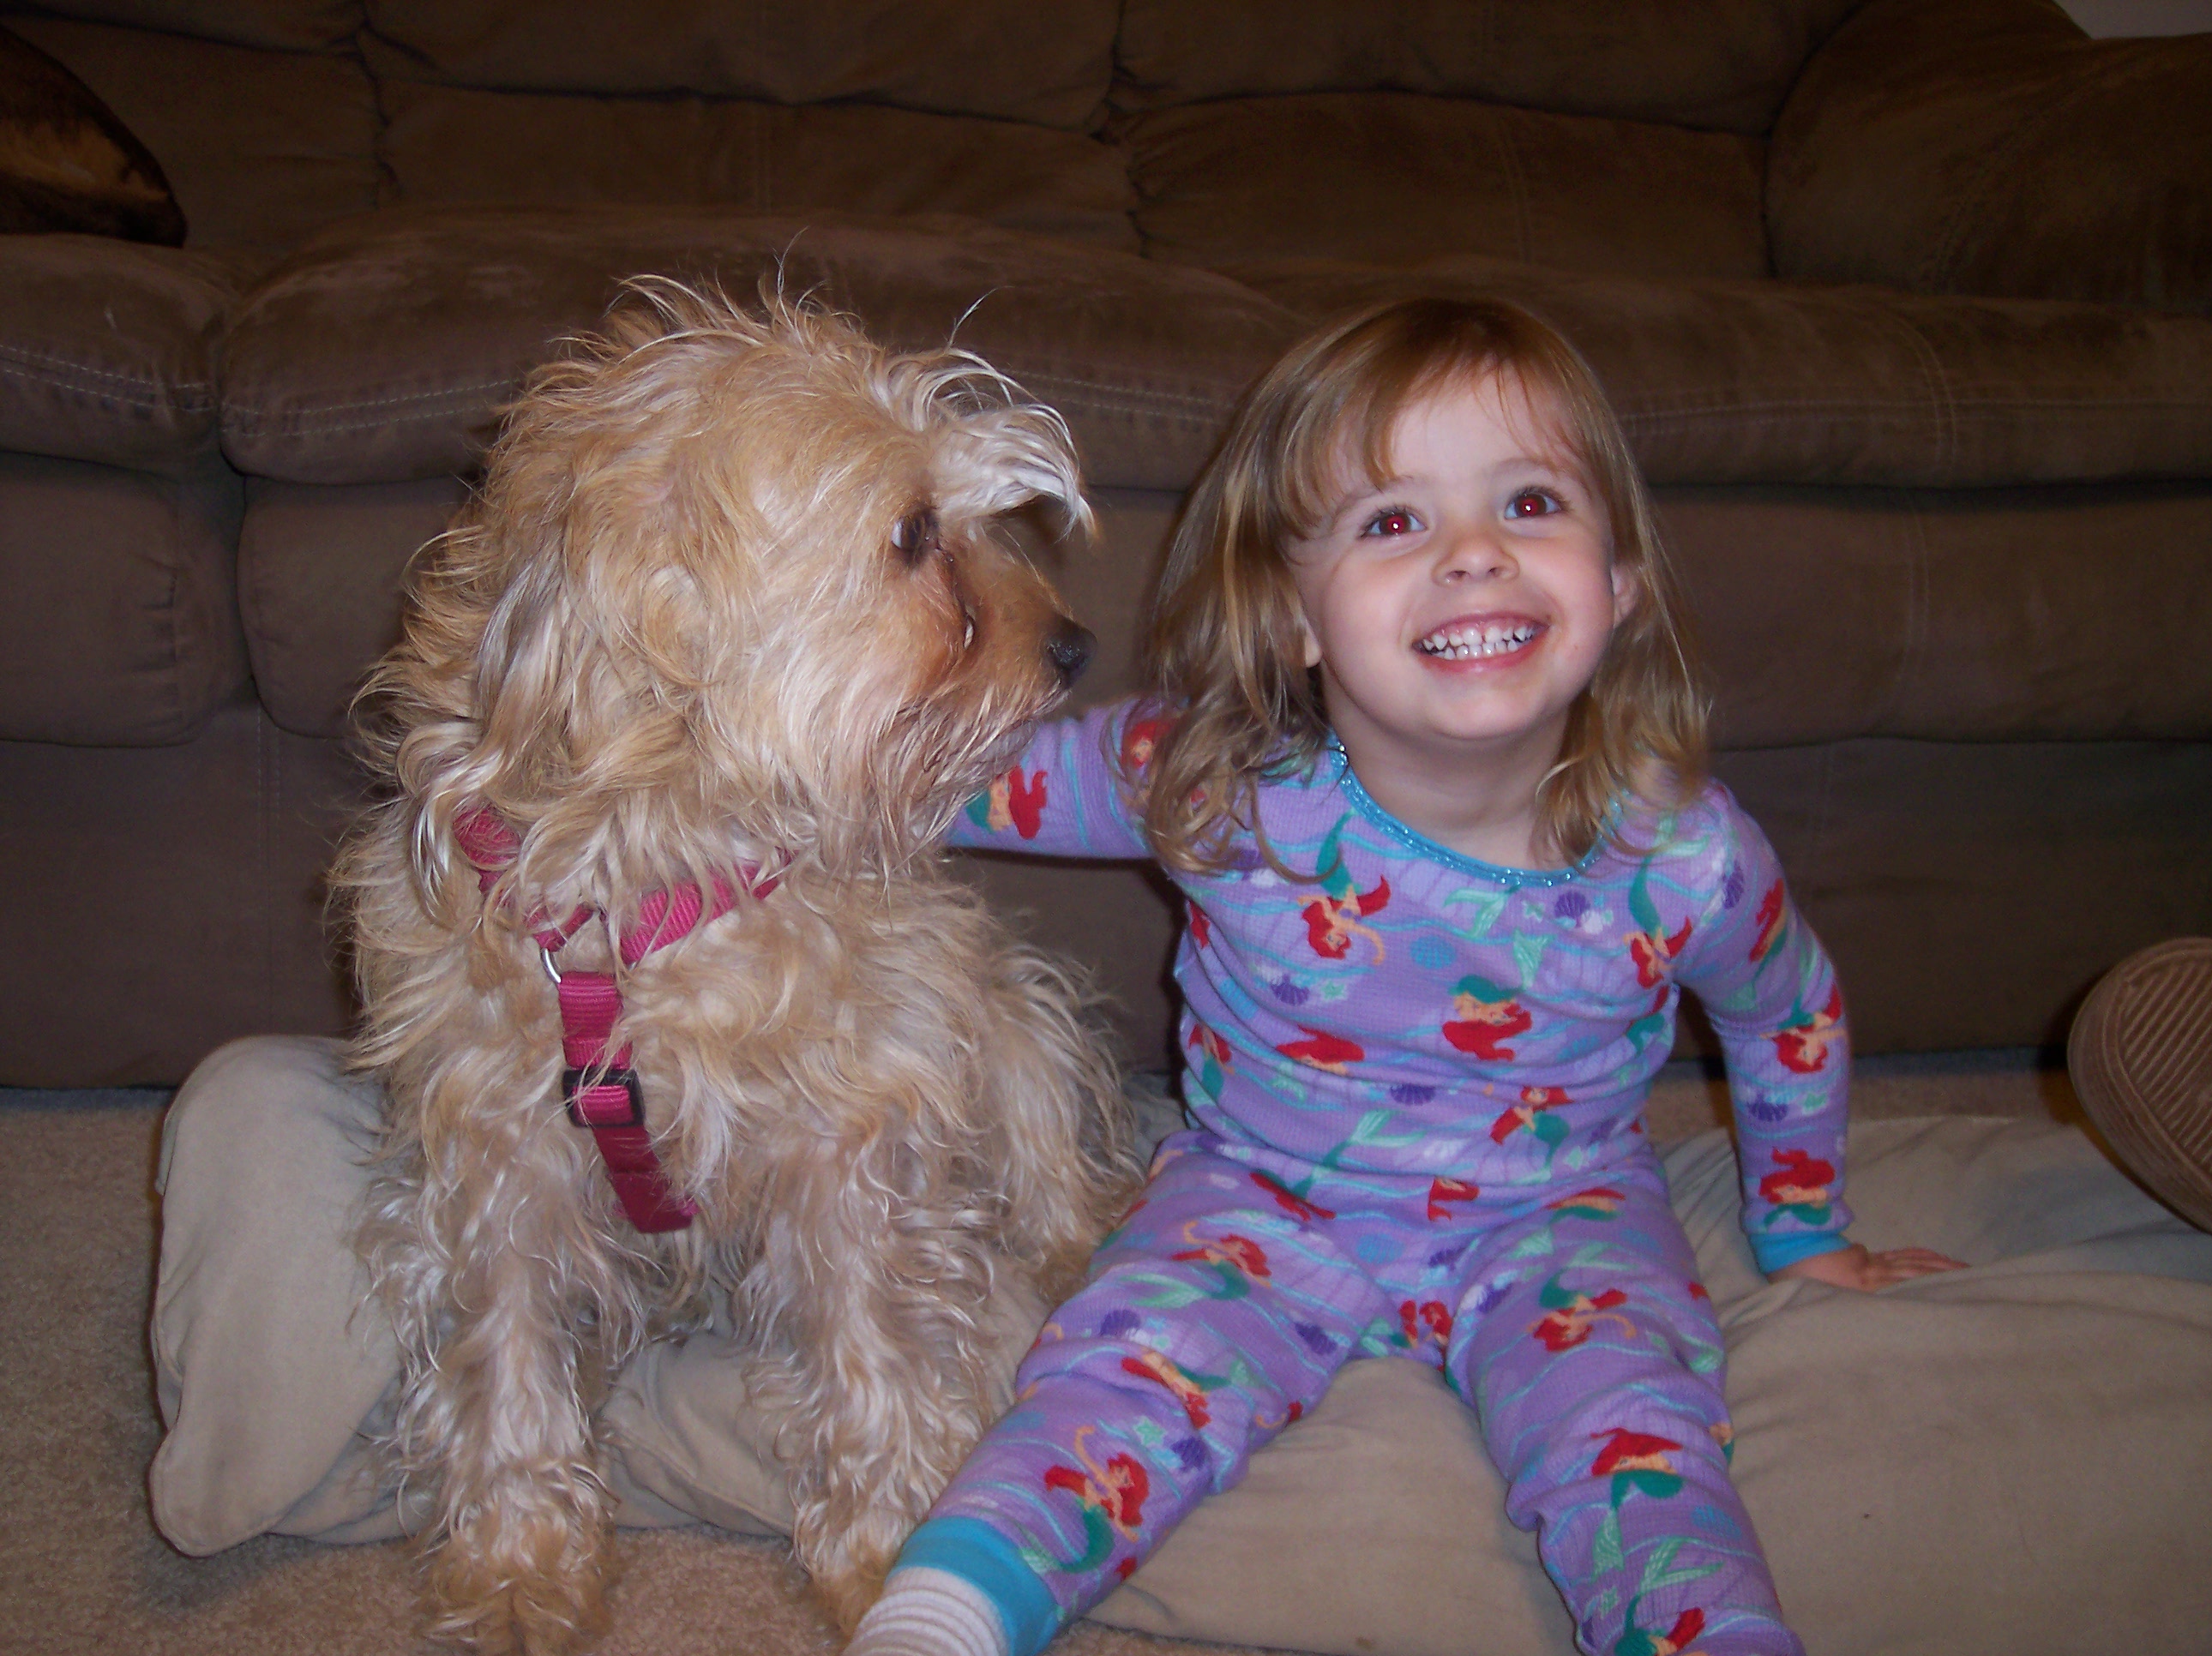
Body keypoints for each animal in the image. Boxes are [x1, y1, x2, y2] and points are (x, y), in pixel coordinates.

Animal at [336, 282, 1136, 1653]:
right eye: (913, 534)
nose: (1077, 648)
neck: (652, 879)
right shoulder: (495, 1153)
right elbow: (506, 1354)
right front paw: (518, 1560)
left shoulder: (852, 1124)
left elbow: (872, 1341)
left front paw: (881, 1545)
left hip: (998, 1010)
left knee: (1045, 1140)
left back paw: (1080, 1232)